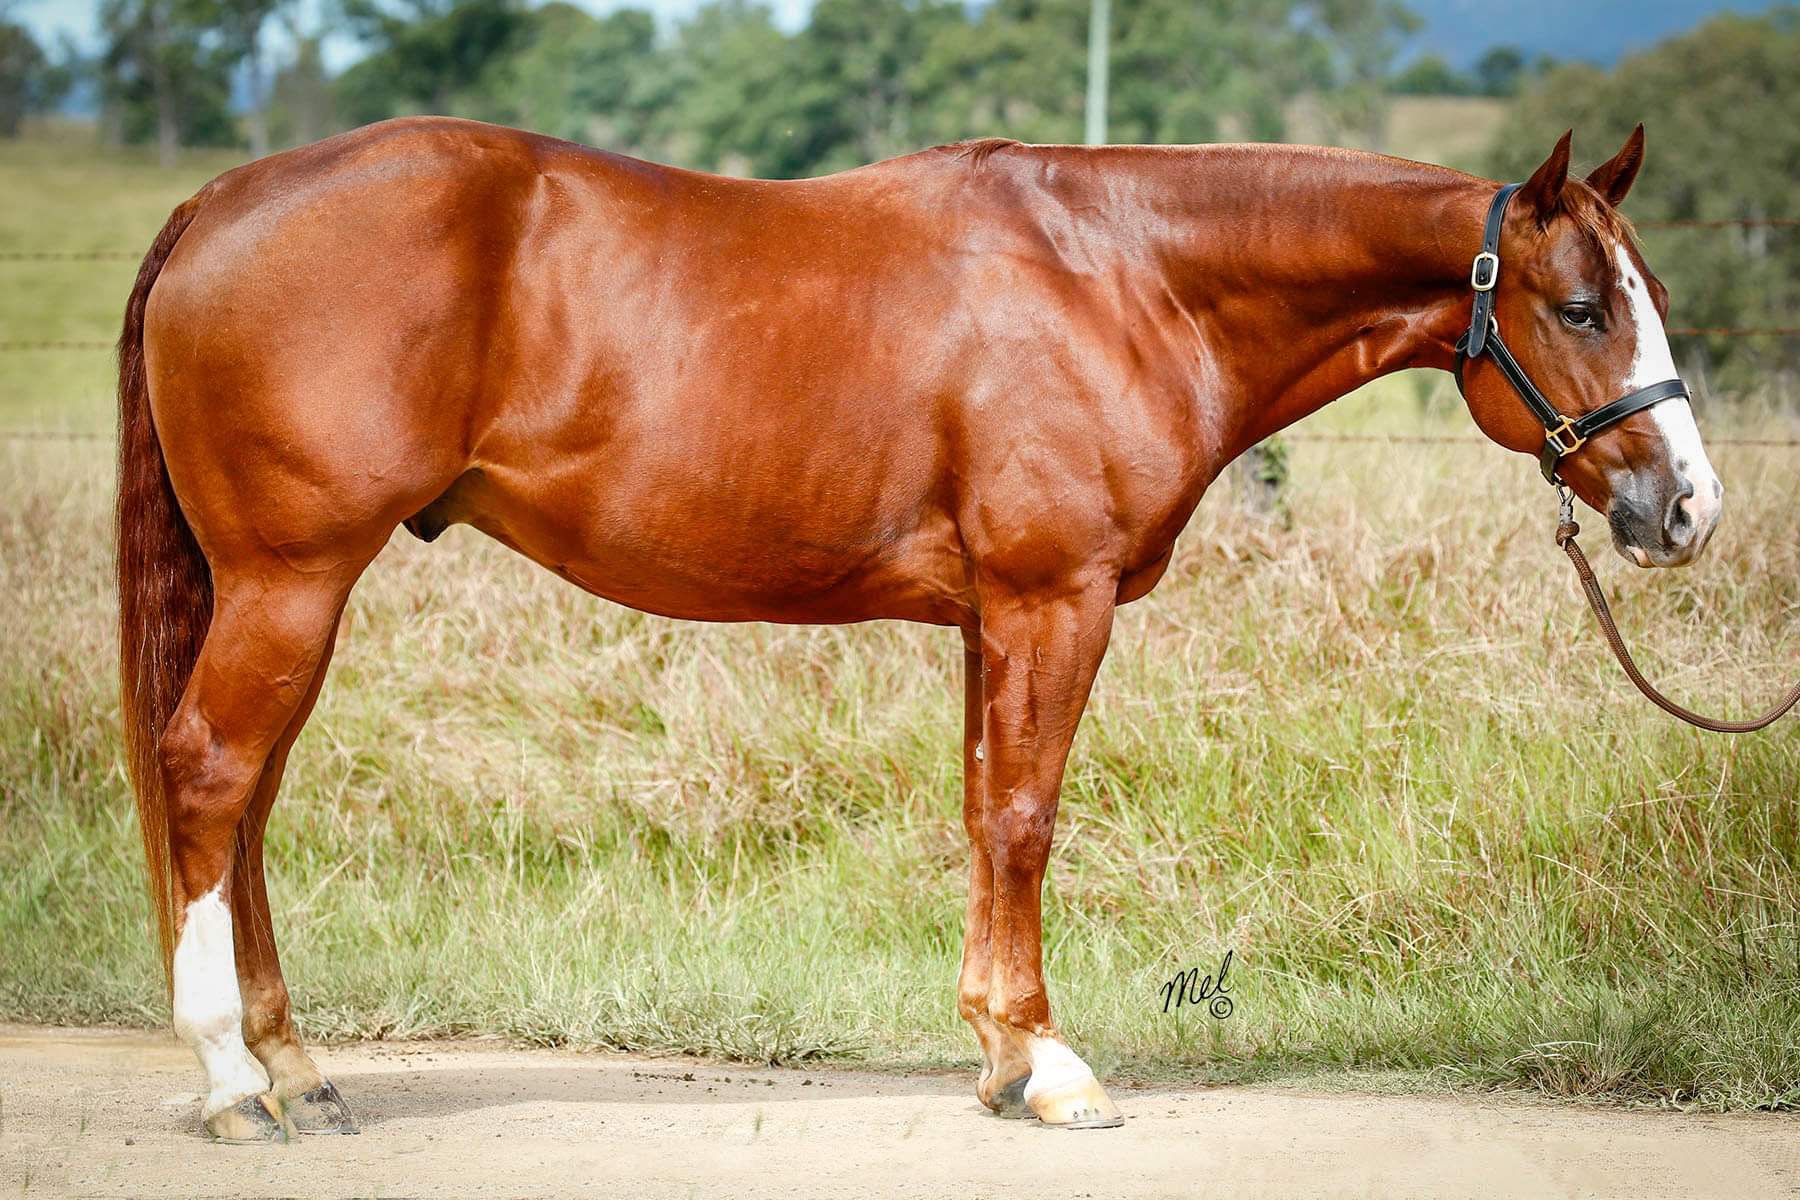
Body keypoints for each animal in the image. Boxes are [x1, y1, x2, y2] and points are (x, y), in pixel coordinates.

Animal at [115, 117, 1721, 1140]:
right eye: (1583, 306)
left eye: (1646, 294)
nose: (1688, 508)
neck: (1127, 277)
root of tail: (222, 198)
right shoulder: (1052, 600)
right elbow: (1025, 816)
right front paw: (1052, 1067)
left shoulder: (987, 619)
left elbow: (979, 809)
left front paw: (999, 1054)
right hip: (292, 578)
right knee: (209, 774)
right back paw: (233, 1084)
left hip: (290, 592)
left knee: (245, 806)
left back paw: (298, 1069)